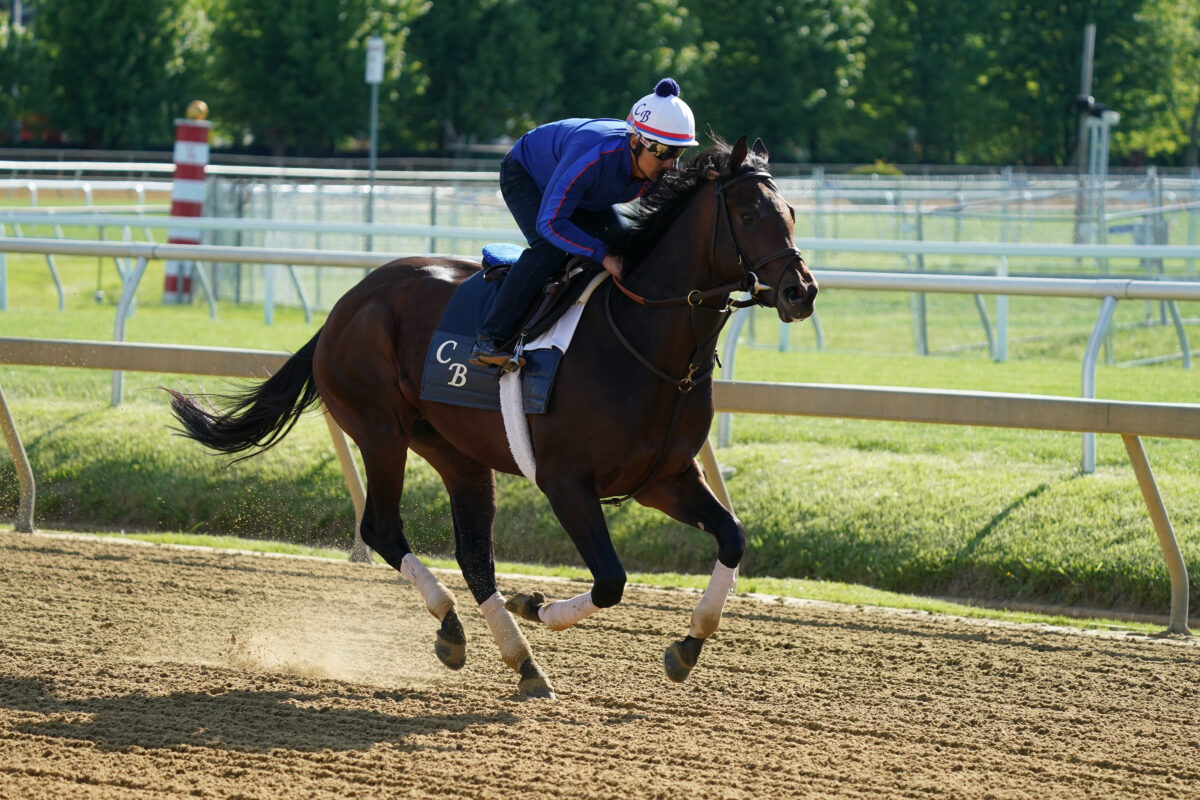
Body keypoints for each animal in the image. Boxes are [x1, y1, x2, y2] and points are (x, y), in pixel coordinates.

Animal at [169, 137, 820, 700]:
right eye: (749, 213)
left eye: (790, 211)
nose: (801, 292)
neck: (645, 344)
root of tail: (345, 306)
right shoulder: (566, 481)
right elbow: (611, 580)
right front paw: (537, 605)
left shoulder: (663, 478)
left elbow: (732, 536)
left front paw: (687, 645)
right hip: (380, 430)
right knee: (382, 529)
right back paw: (455, 627)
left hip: (454, 451)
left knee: (474, 556)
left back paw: (520, 661)